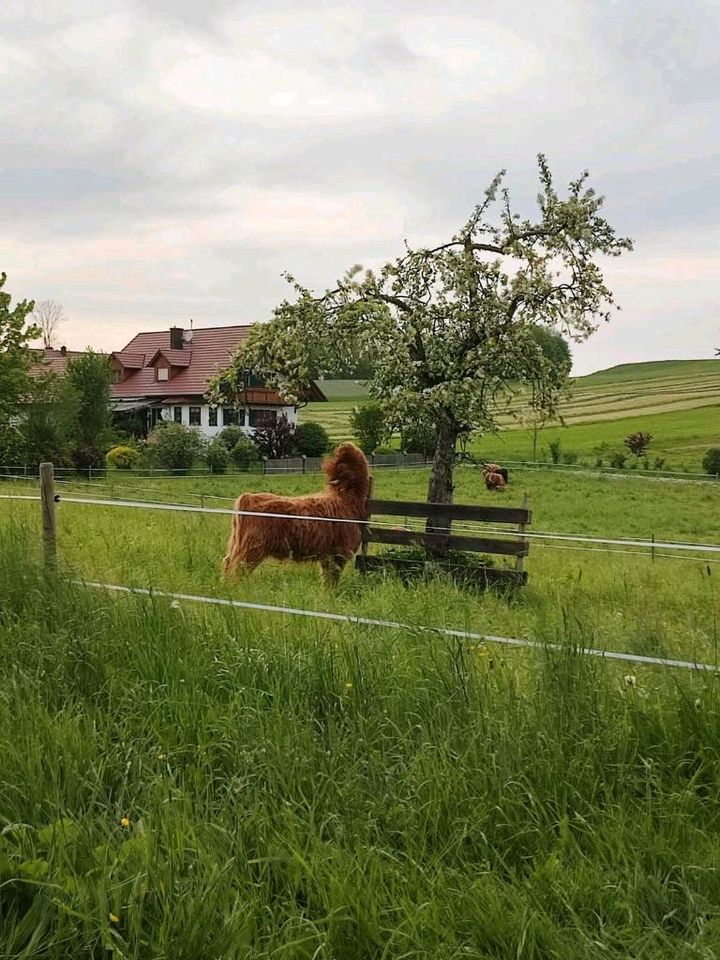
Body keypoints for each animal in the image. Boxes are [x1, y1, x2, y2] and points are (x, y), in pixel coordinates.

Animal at [222, 442, 372, 584]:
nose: (344, 445)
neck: (348, 497)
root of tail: (248, 497)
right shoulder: (339, 552)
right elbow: (333, 577)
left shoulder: (327, 554)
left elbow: (327, 577)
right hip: (252, 548)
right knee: (237, 570)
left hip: (236, 544)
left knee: (227, 564)